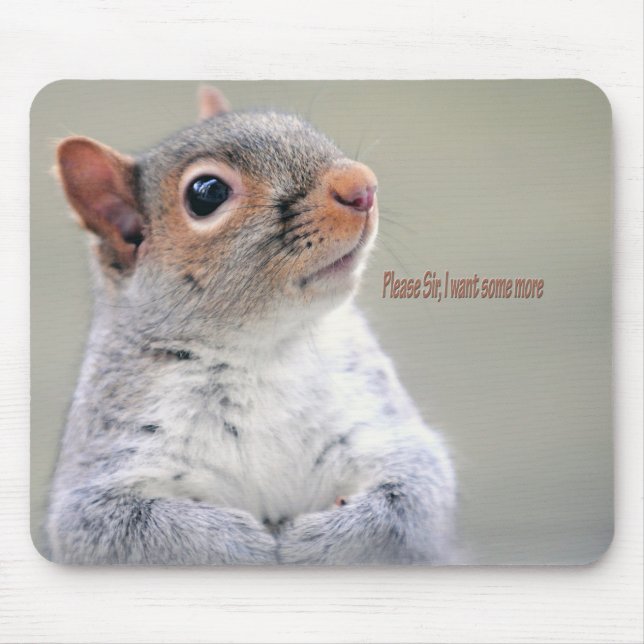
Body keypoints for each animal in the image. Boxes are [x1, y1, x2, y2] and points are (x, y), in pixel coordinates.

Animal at [45, 86, 457, 565]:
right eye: (206, 193)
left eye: (300, 126)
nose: (362, 185)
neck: (264, 350)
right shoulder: (106, 464)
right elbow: (117, 529)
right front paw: (237, 545)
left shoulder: (380, 424)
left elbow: (414, 496)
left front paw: (317, 542)